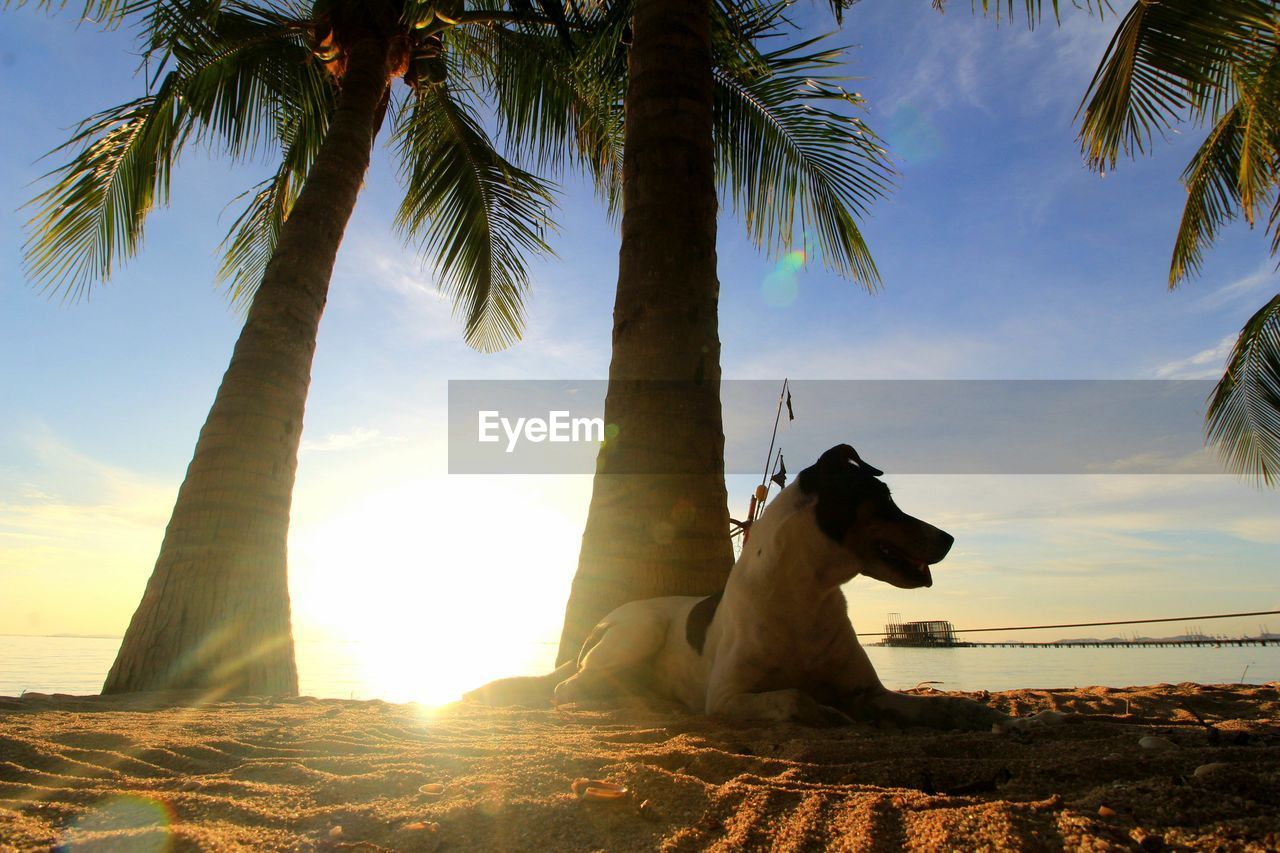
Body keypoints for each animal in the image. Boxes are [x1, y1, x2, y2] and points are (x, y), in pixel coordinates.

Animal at [471, 440, 1059, 727]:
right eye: (885, 502)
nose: (950, 539)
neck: (806, 596)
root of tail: (601, 623)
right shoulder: (728, 696)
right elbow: (794, 696)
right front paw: (822, 712)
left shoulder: (868, 690)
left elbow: (935, 705)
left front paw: (984, 714)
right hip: (636, 633)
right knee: (571, 688)